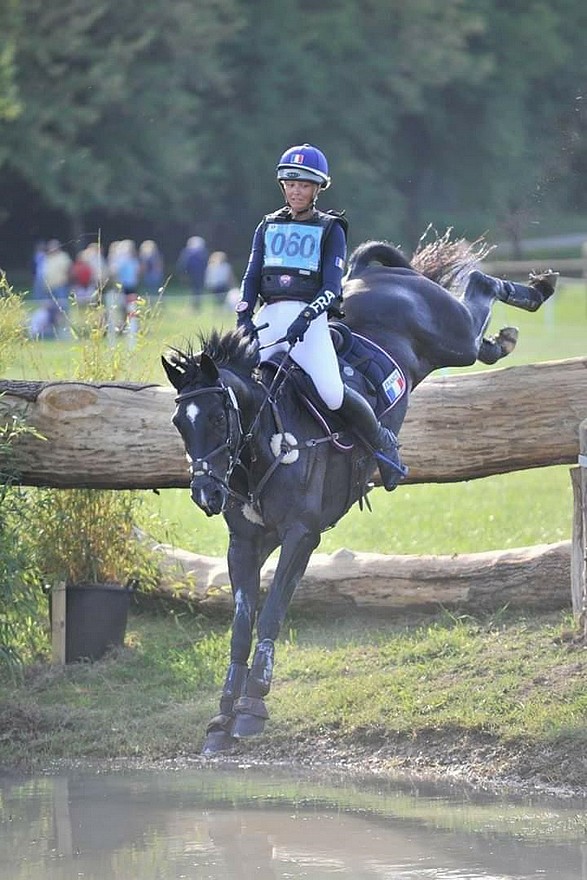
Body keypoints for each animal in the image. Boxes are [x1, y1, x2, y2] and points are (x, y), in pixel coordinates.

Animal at [163, 237, 560, 752]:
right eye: (179, 422)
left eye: (216, 417)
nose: (206, 493)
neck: (266, 444)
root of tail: (372, 276)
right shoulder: (245, 545)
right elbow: (240, 626)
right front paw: (222, 716)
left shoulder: (301, 536)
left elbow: (270, 615)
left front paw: (251, 708)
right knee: (479, 323)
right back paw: (506, 335)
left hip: (452, 337)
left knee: (477, 289)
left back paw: (535, 291)